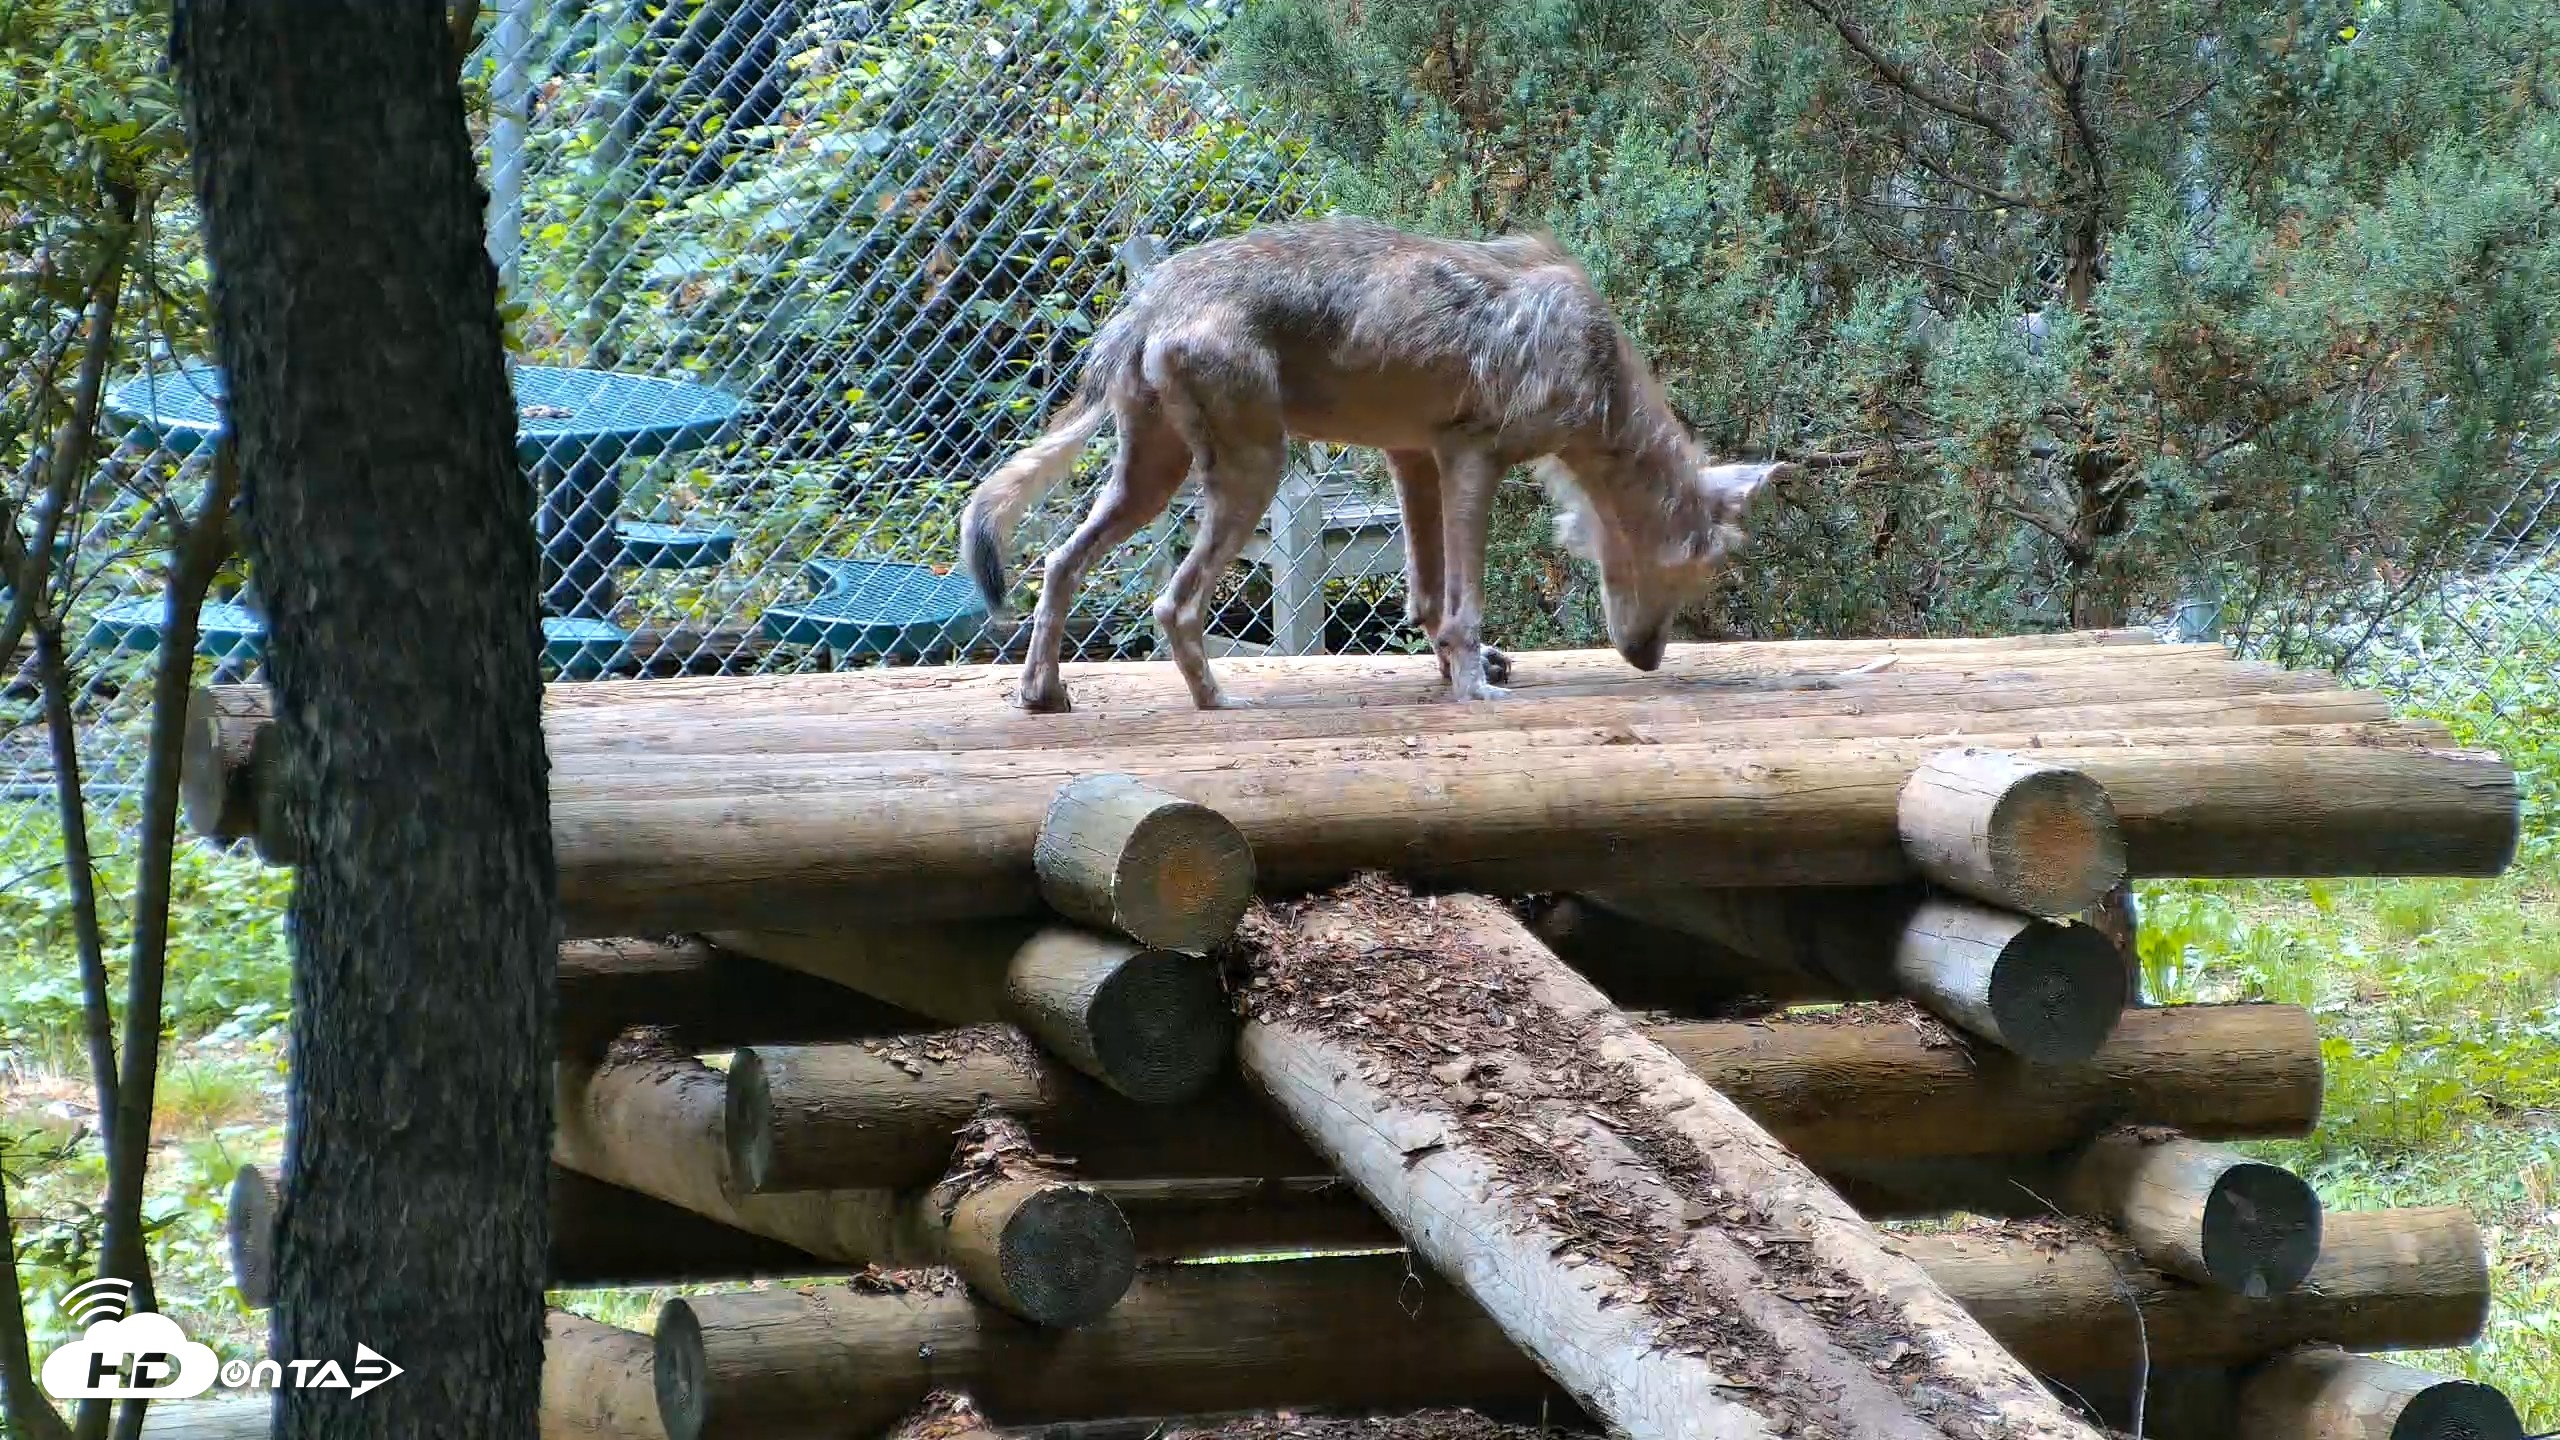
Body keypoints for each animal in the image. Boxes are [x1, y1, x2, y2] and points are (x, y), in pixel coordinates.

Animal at [959, 216, 1792, 713]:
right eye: (1695, 574)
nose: (1649, 661)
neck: (1600, 371)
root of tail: (1150, 297)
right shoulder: (1473, 458)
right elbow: (1462, 605)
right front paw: (1475, 690)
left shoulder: (1415, 458)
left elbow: (1426, 601)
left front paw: (1458, 671)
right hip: (1252, 477)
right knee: (1174, 604)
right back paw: (1218, 701)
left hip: (1150, 485)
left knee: (1059, 566)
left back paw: (1042, 694)